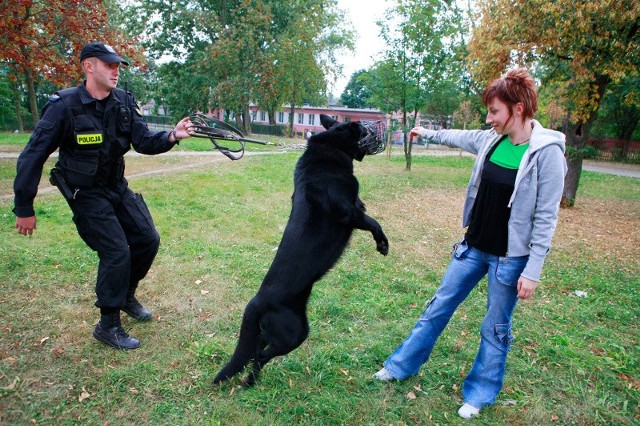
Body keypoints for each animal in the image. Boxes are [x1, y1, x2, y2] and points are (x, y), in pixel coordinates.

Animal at [212, 113, 388, 386]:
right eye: (363, 128)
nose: (378, 129)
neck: (331, 148)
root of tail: (255, 302)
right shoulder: (348, 212)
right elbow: (373, 223)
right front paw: (383, 244)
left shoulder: (356, 208)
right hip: (295, 332)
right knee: (260, 355)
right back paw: (250, 381)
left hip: (284, 330)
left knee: (257, 350)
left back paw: (250, 382)